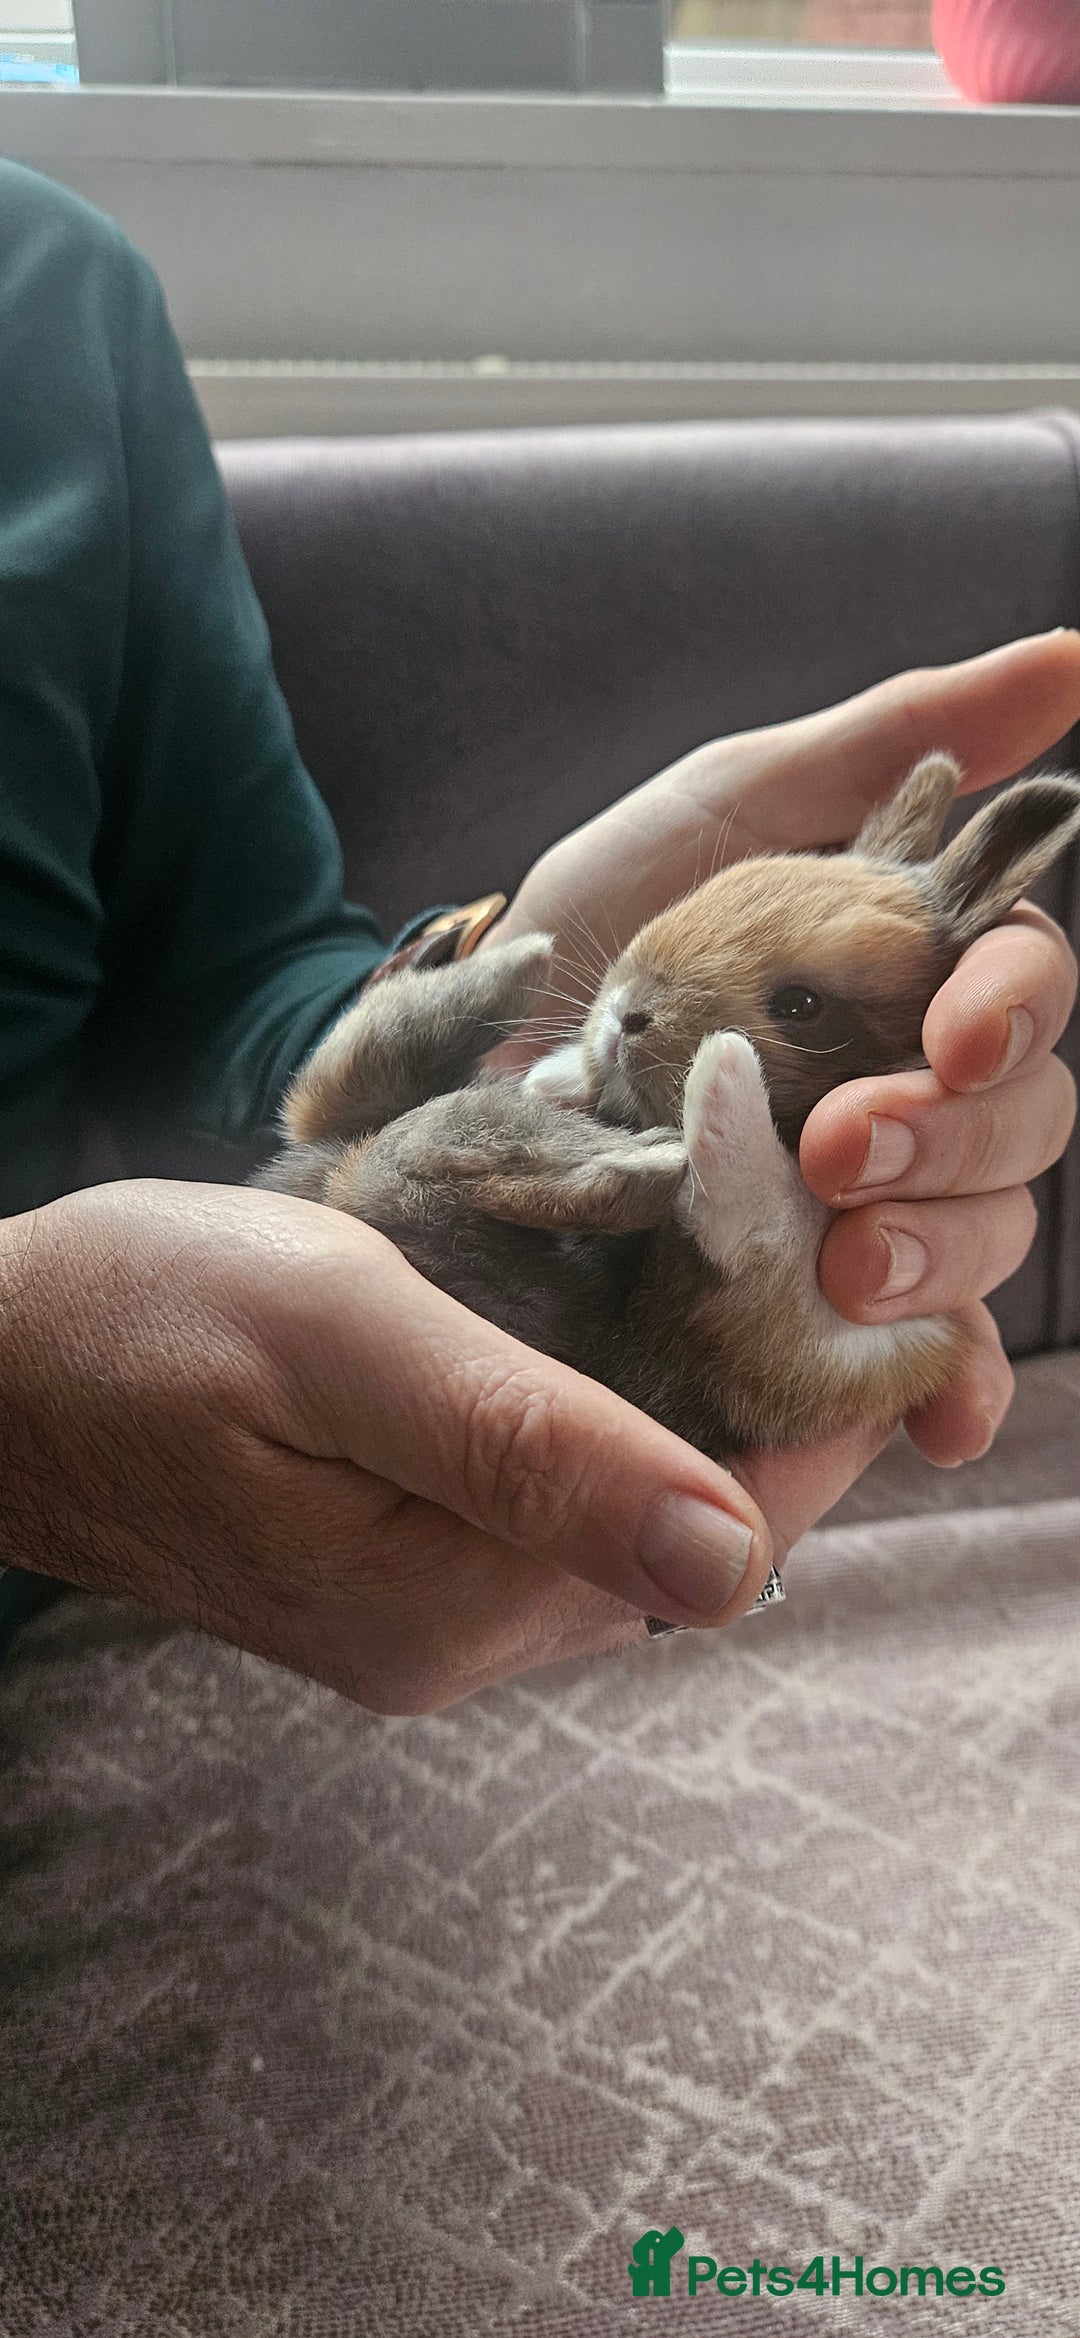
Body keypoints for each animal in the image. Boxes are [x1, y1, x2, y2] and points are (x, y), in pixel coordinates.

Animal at [257, 754, 1080, 1461]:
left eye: (802, 1005)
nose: (625, 1014)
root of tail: (344, 1182)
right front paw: (566, 1076)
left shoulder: (849, 1343)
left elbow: (764, 1223)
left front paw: (722, 1069)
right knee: (368, 1073)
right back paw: (519, 977)